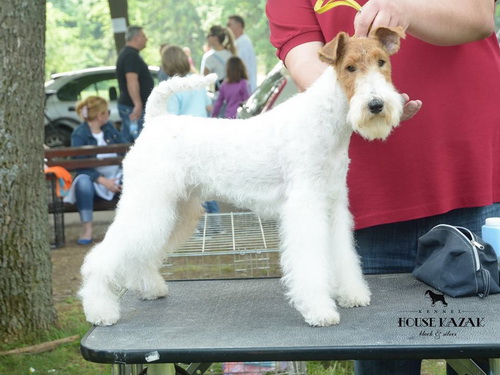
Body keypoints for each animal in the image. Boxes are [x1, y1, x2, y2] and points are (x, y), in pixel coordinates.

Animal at [80, 26, 404, 328]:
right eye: (349, 67)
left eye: (382, 62)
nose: (376, 105)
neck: (325, 121)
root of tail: (155, 120)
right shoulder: (306, 206)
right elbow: (310, 261)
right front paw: (319, 310)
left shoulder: (333, 204)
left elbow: (342, 254)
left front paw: (352, 294)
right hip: (149, 204)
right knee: (102, 258)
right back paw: (101, 310)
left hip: (174, 210)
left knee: (141, 254)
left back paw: (150, 288)